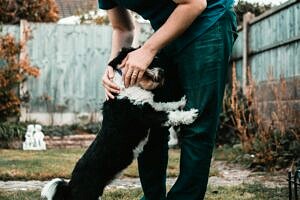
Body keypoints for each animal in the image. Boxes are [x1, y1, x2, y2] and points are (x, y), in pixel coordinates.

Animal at [41, 48, 198, 200]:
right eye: (153, 59)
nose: (163, 72)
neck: (127, 85)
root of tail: (70, 187)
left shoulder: (151, 106)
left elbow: (165, 105)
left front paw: (181, 102)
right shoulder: (146, 115)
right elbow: (170, 114)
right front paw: (190, 114)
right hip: (87, 194)